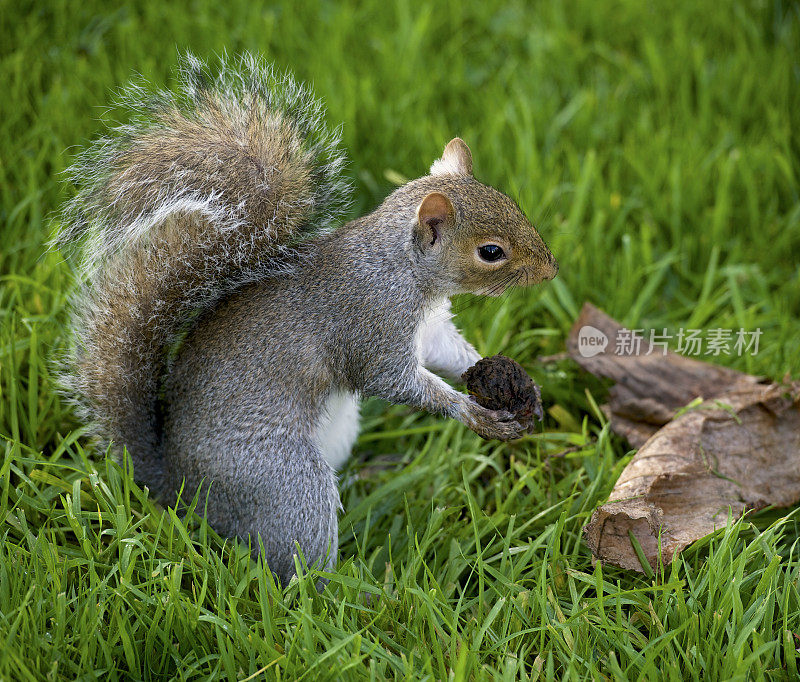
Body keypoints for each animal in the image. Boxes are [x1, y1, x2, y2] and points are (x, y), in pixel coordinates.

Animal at [56, 54, 560, 584]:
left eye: (510, 202)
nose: (551, 269)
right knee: (296, 560)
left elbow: (451, 354)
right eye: (491, 252)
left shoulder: (430, 330)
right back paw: (350, 589)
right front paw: (474, 412)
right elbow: (393, 382)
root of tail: (177, 489)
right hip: (284, 482)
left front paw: (520, 385)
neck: (402, 270)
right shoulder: (370, 323)